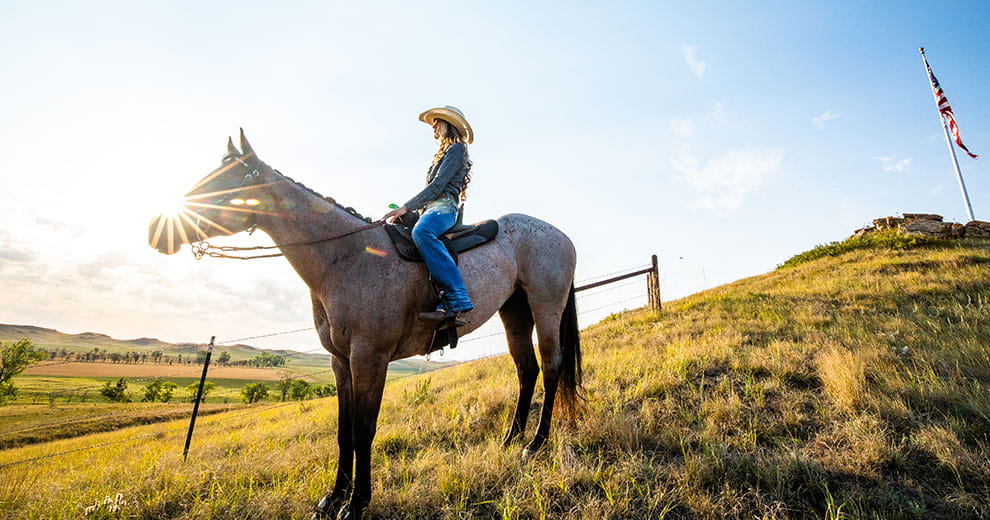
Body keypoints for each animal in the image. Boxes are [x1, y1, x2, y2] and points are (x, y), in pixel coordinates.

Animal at [148, 130, 582, 519]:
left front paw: (356, 503)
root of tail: (561, 235)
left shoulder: (369, 359)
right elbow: (344, 431)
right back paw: (511, 439)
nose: (156, 230)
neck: (347, 257)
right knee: (526, 371)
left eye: (225, 182)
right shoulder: (340, 361)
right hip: (514, 313)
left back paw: (534, 445)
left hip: (545, 308)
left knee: (551, 367)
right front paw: (332, 497)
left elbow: (364, 429)